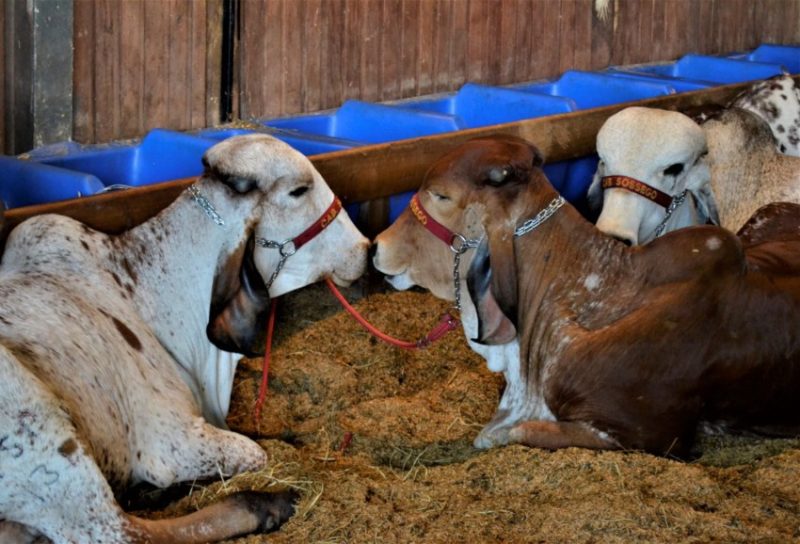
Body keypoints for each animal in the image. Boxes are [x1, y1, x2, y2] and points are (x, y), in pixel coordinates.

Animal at [0, 135, 368, 544]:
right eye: (298, 190)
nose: (365, 249)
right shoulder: (172, 442)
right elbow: (259, 452)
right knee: (123, 533)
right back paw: (266, 504)